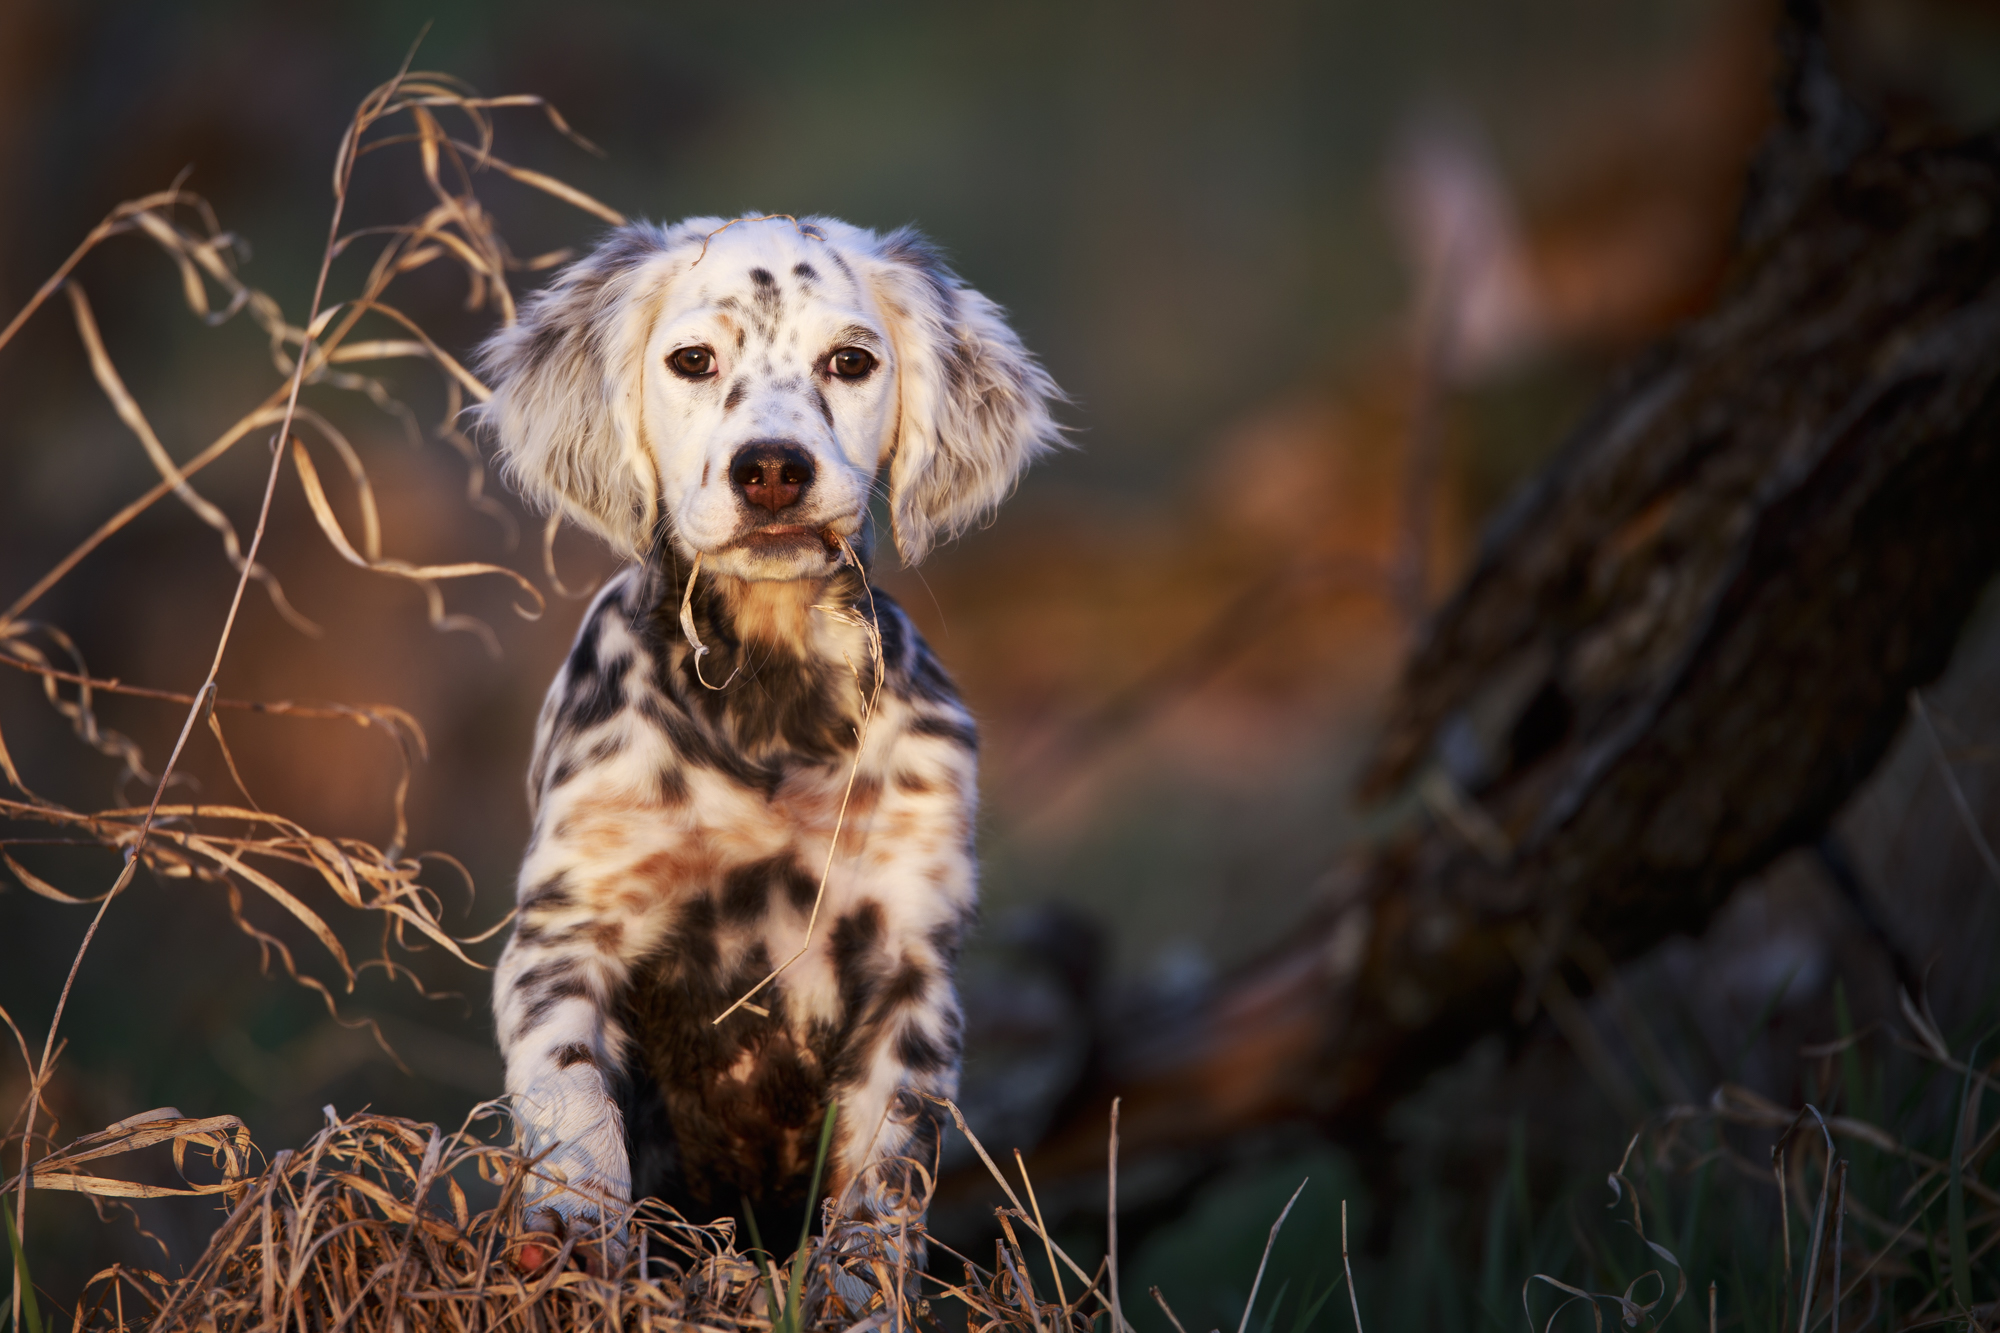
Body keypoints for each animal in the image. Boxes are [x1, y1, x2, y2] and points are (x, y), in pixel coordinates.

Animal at [474, 213, 1064, 1264]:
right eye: (693, 360)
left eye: (851, 360)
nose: (774, 468)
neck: (771, 697)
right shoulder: (568, 921)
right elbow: (569, 1084)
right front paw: (576, 1223)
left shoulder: (909, 954)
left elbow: (884, 1180)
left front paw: (860, 1283)